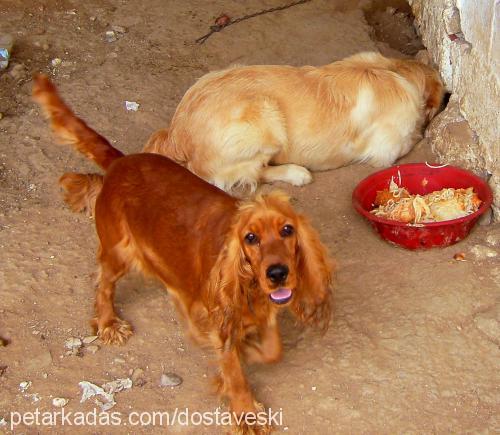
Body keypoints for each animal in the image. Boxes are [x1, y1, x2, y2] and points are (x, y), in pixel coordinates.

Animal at [33, 76, 334, 434]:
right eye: (250, 238)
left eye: (288, 230)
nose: (278, 274)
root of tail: (122, 161)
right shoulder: (222, 320)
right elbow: (234, 370)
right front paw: (247, 413)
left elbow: (272, 350)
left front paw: (251, 350)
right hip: (118, 251)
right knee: (103, 285)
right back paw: (108, 323)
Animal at [144, 52, 442, 192]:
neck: (394, 70)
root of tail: (175, 133)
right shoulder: (387, 151)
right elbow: (414, 138)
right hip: (265, 119)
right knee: (254, 173)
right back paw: (296, 173)